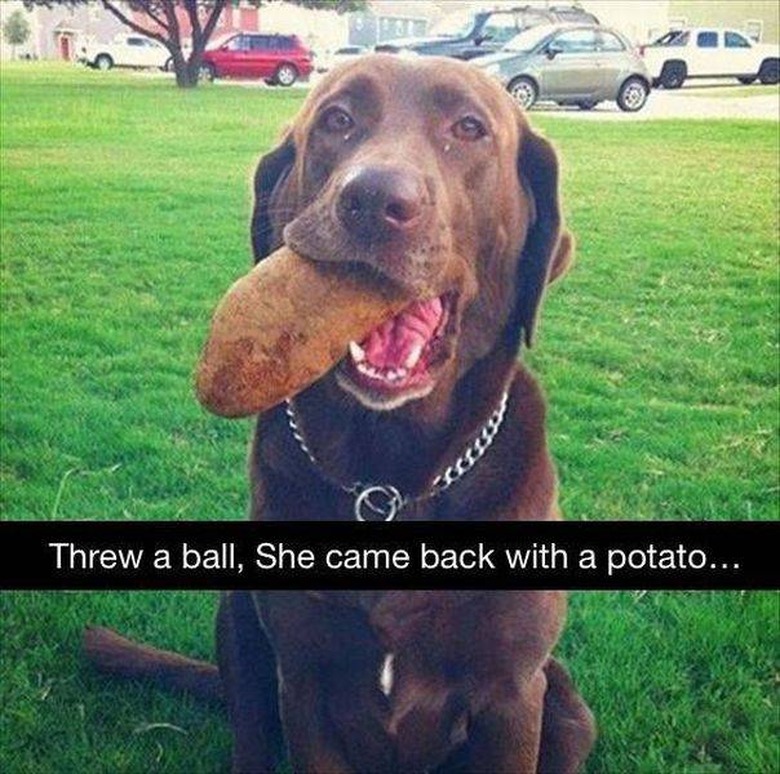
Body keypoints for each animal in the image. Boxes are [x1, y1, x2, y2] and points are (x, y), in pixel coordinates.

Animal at [85, 56, 596, 774]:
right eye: (337, 119)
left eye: (469, 128)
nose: (375, 200)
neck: (389, 481)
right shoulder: (305, 684)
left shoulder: (512, 693)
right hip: (238, 623)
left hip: (569, 708)